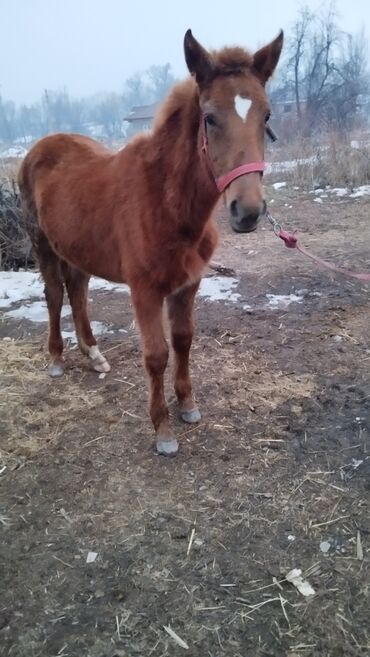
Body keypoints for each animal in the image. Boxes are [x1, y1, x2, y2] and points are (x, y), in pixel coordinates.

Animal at [18, 29, 284, 452]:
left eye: (267, 116)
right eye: (209, 118)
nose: (248, 211)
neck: (164, 201)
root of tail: (39, 148)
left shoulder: (188, 284)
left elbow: (183, 340)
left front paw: (187, 405)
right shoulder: (144, 291)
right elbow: (157, 355)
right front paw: (163, 430)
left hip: (77, 248)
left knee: (77, 292)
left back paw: (94, 354)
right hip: (43, 244)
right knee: (55, 294)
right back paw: (57, 360)